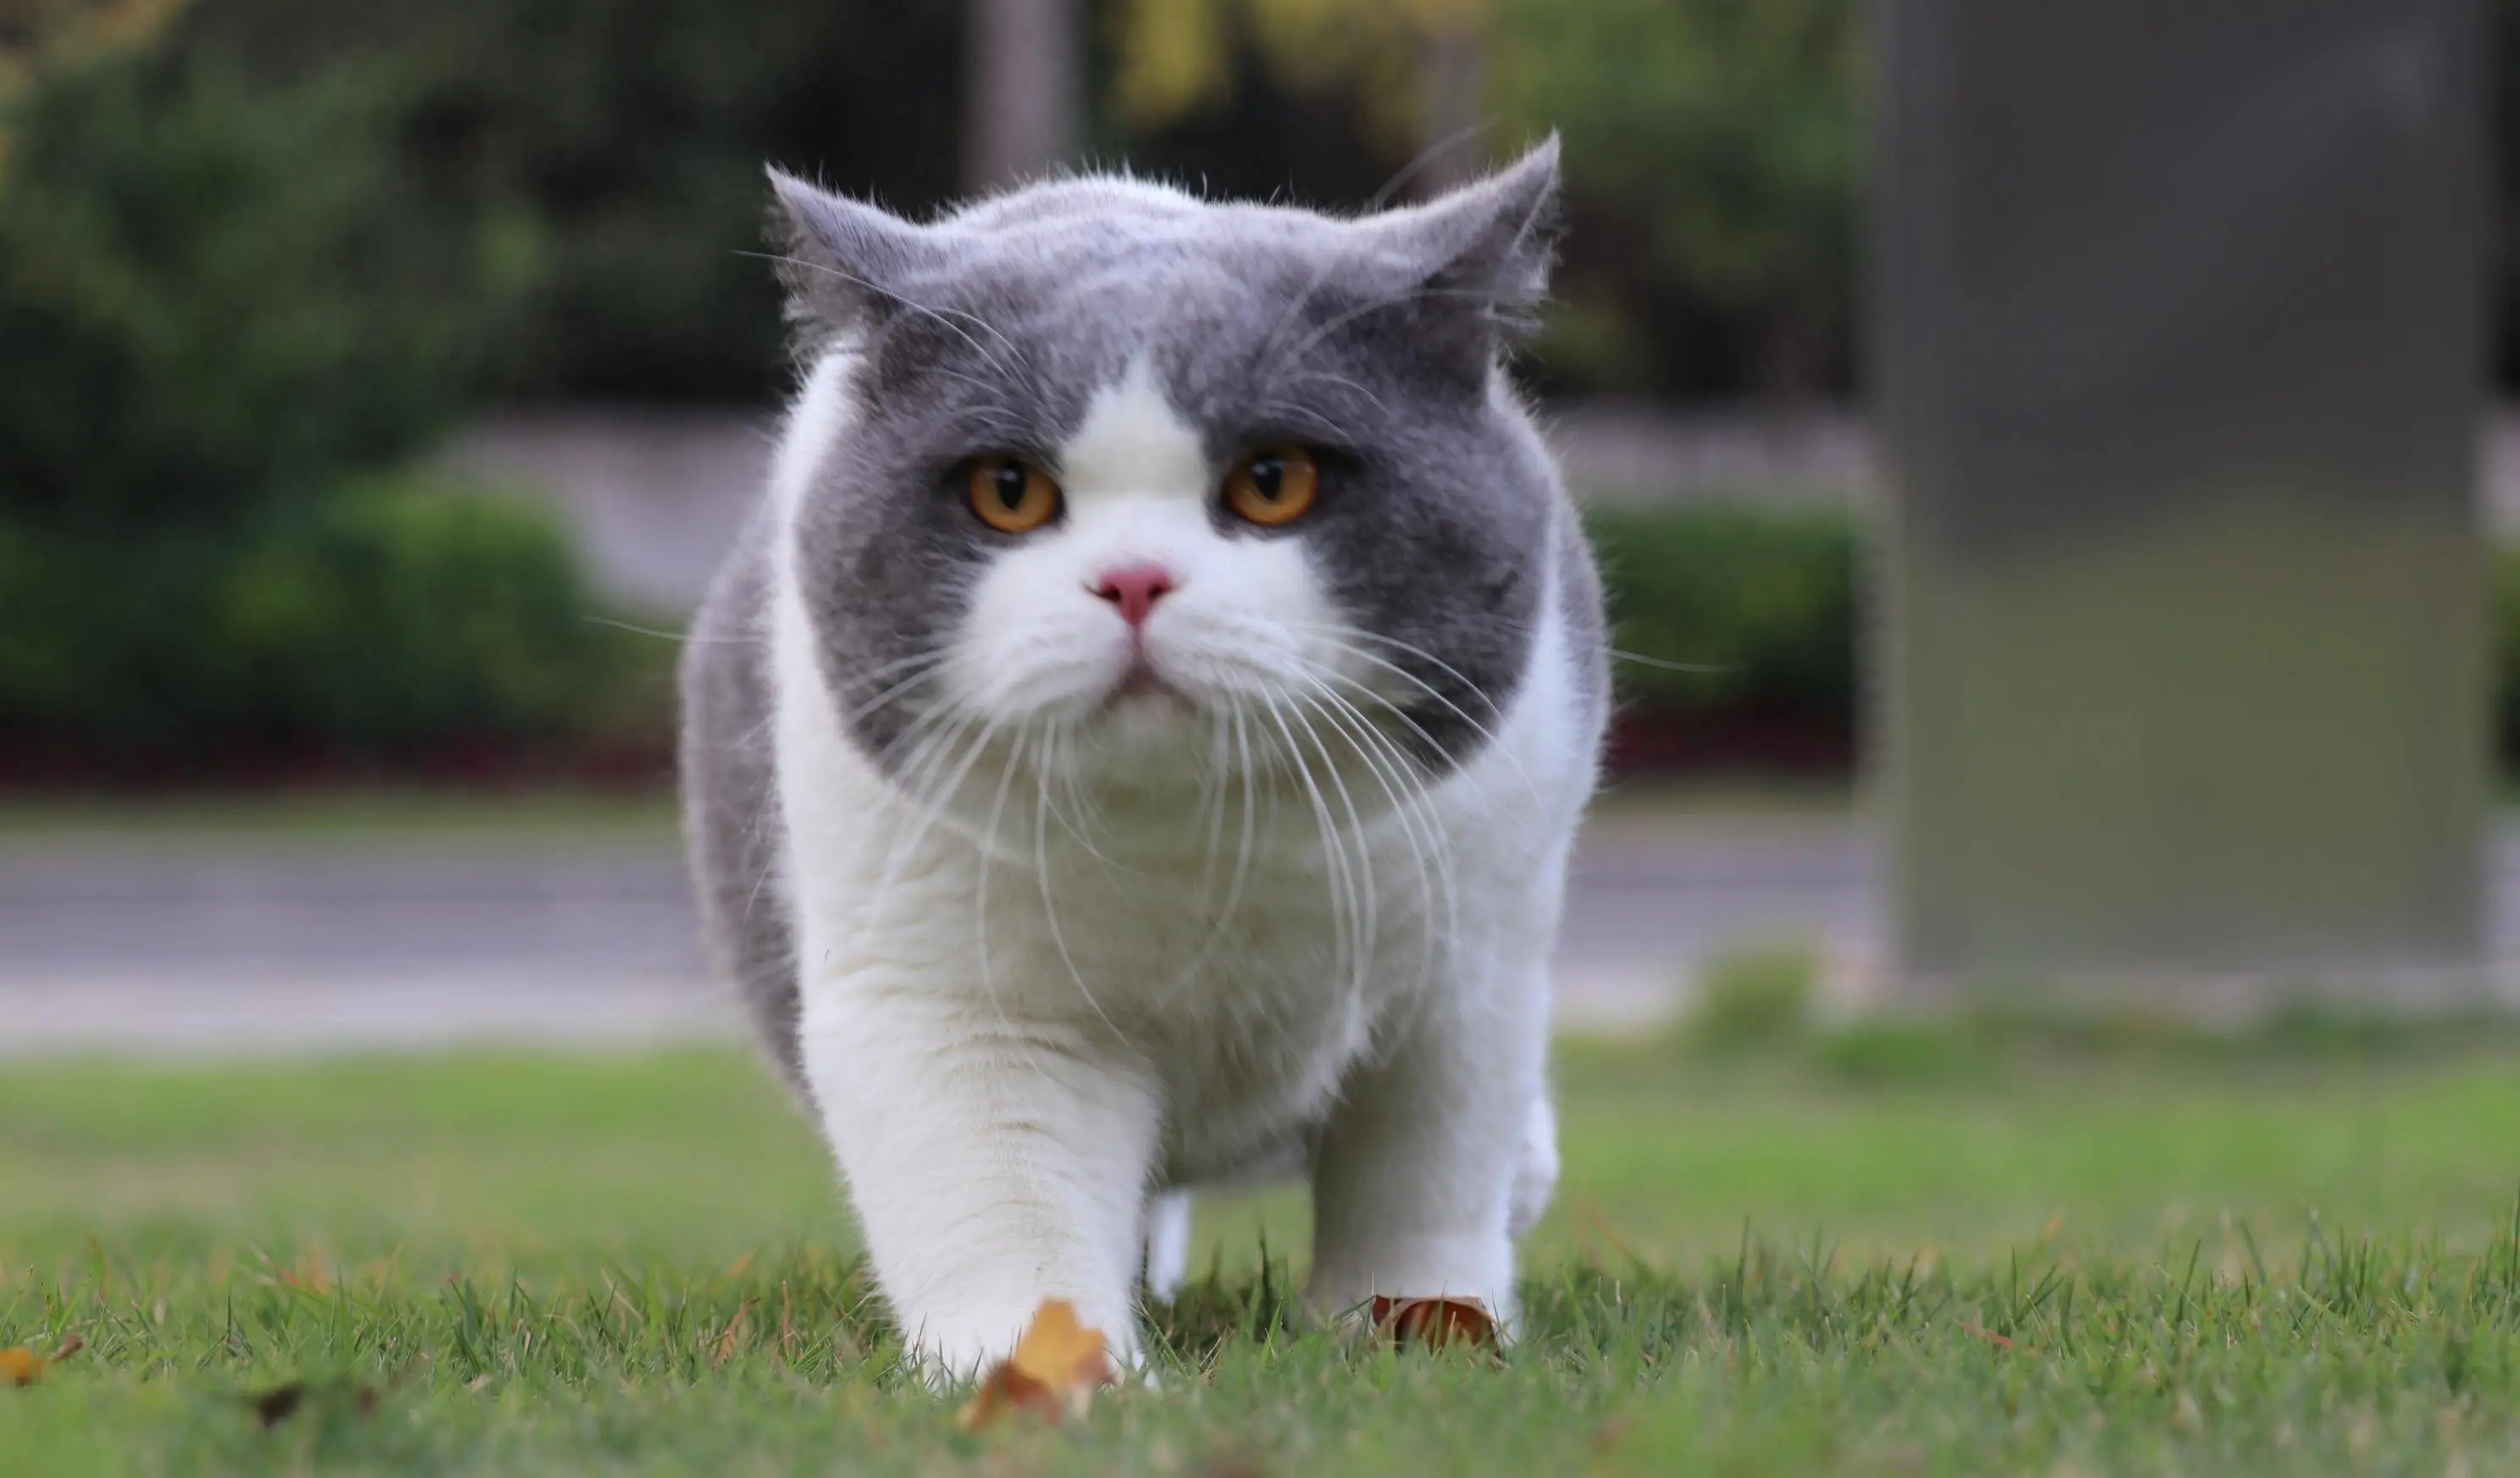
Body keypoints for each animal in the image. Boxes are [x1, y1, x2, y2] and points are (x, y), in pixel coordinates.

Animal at [680, 132, 1602, 1379]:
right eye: (1008, 491)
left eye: (1274, 480)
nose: (1132, 580)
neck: (1201, 859)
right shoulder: (948, 999)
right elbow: (1004, 1200)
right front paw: (1049, 1374)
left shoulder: (1470, 972)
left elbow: (1424, 1172)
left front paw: (1419, 1328)